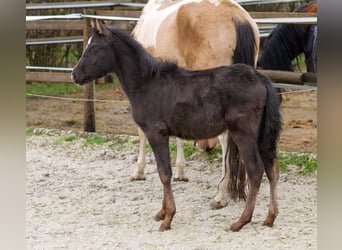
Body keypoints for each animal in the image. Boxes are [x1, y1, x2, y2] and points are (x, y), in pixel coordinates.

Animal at [71, 20, 280, 232]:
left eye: (95, 48)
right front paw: (162, 212)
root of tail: (260, 79)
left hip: (243, 134)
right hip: (261, 136)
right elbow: (163, 171)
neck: (147, 83)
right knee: (272, 169)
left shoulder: (156, 133)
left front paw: (168, 217)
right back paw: (270, 217)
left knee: (256, 172)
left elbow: (164, 173)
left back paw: (241, 221)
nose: (75, 75)